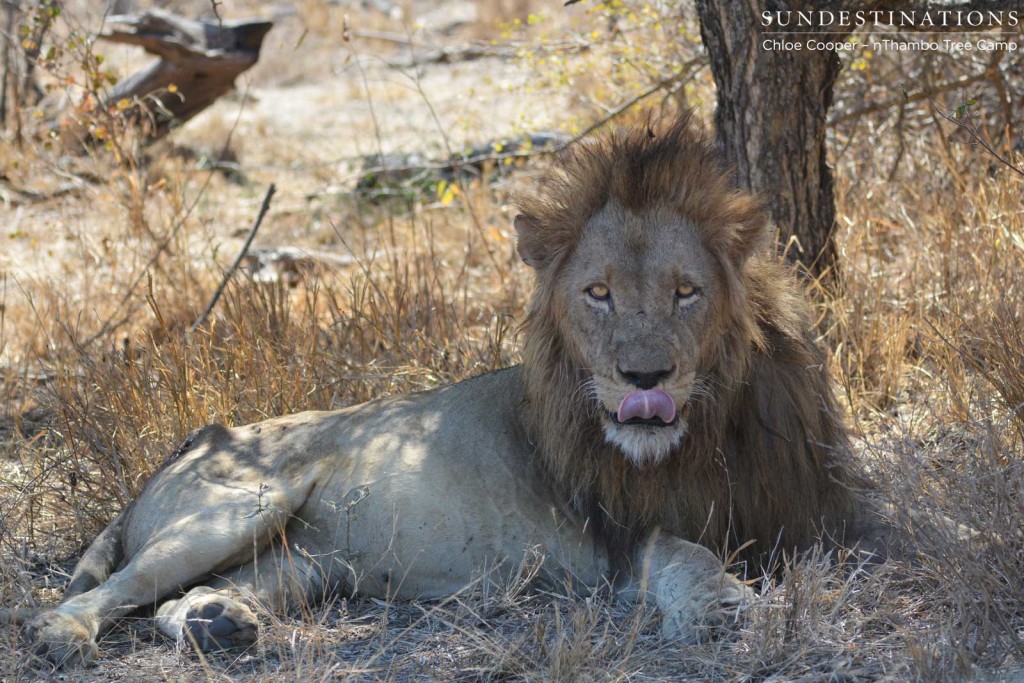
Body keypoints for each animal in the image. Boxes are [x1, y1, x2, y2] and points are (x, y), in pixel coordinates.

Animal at [19, 116, 892, 667]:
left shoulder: (820, 506)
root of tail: (187, 443)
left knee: (183, 599)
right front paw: (724, 604)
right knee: (113, 591)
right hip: (239, 506)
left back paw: (220, 623)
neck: (710, 430)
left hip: (308, 564)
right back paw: (64, 636)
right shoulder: (621, 533)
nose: (644, 377)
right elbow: (689, 553)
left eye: (686, 292)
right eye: (599, 293)